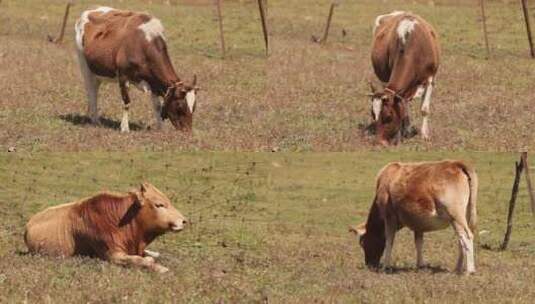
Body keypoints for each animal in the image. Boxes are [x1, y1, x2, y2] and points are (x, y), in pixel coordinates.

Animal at [350, 160, 480, 274]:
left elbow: (389, 240)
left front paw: (386, 266)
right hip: (462, 216)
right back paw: (457, 268)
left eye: (363, 243)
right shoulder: (418, 222)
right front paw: (420, 265)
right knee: (461, 239)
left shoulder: (389, 216)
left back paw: (469, 270)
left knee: (467, 237)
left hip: (455, 214)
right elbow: (418, 243)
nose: (369, 264)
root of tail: (456, 163)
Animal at [370, 11, 442, 145]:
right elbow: (402, 108)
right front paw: (403, 133)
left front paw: (425, 135)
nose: (380, 142)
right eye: (373, 115)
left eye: (389, 117)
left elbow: (424, 109)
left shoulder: (430, 79)